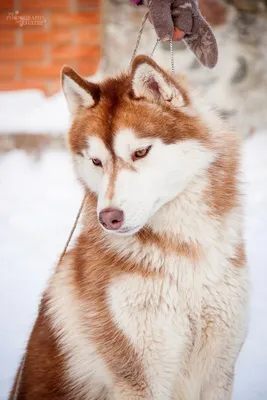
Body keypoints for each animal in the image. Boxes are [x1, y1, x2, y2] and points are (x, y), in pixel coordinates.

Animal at [9, 56, 249, 400]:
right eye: (96, 161)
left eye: (140, 152)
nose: (109, 217)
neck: (184, 253)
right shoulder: (140, 376)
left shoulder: (219, 368)